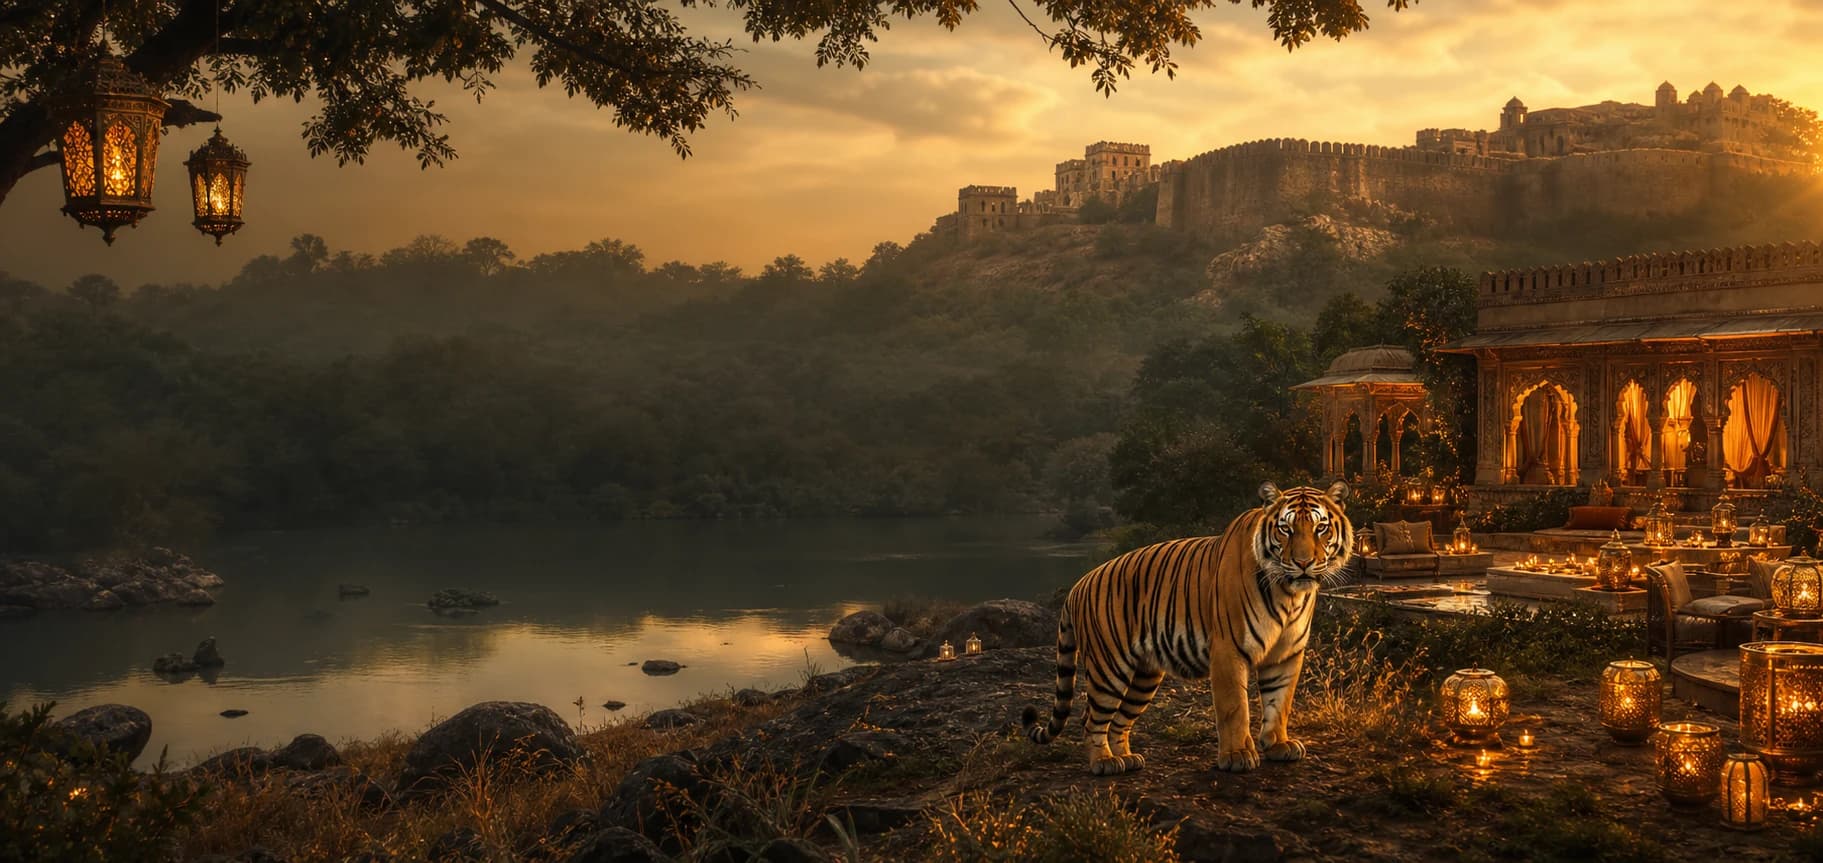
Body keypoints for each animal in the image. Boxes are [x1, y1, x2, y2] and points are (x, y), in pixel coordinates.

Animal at [1022, 480, 1353, 775]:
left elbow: (1279, 702)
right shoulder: (1228, 650)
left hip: (1144, 677)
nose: (1303, 563)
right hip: (1108, 668)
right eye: (1286, 529)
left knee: (1118, 721)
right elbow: (1234, 708)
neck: (1289, 594)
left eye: (1320, 528)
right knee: (1091, 718)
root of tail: (1079, 583)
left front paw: (1278, 745)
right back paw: (1103, 763)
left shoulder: (1286, 653)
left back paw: (1126, 758)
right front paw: (1236, 756)